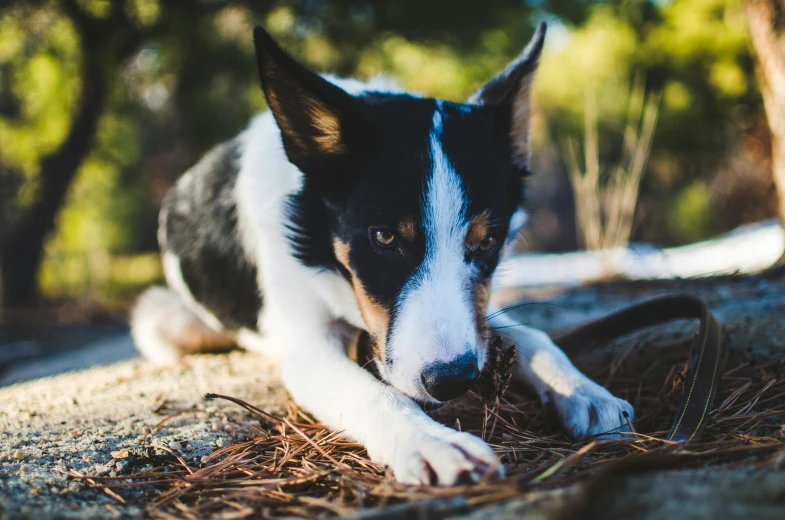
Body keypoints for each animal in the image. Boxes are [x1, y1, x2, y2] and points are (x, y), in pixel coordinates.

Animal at [132, 23, 632, 488]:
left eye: (488, 242)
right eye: (384, 237)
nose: (453, 382)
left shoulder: (475, 320)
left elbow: (531, 335)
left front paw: (581, 389)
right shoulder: (308, 345)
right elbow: (373, 391)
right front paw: (430, 440)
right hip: (164, 321)